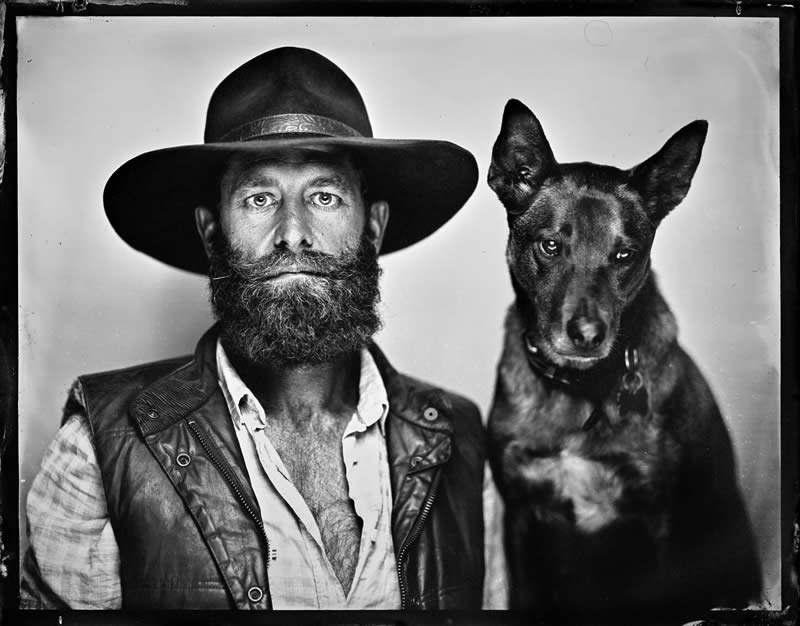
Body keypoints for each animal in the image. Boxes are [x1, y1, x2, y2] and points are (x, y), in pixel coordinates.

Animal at [488, 100, 764, 612]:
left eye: (624, 255)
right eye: (551, 245)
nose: (587, 335)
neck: (578, 391)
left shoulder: (658, 523)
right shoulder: (520, 513)